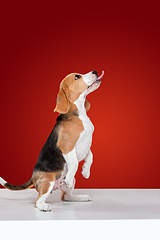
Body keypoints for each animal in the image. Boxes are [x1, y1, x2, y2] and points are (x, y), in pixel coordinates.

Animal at [0, 70, 104, 212]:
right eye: (77, 77)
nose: (95, 71)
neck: (80, 115)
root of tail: (34, 176)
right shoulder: (67, 147)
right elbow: (74, 163)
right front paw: (72, 176)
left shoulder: (86, 144)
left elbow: (90, 155)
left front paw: (86, 171)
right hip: (48, 181)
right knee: (38, 201)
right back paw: (44, 206)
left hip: (65, 186)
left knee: (65, 196)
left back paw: (80, 197)